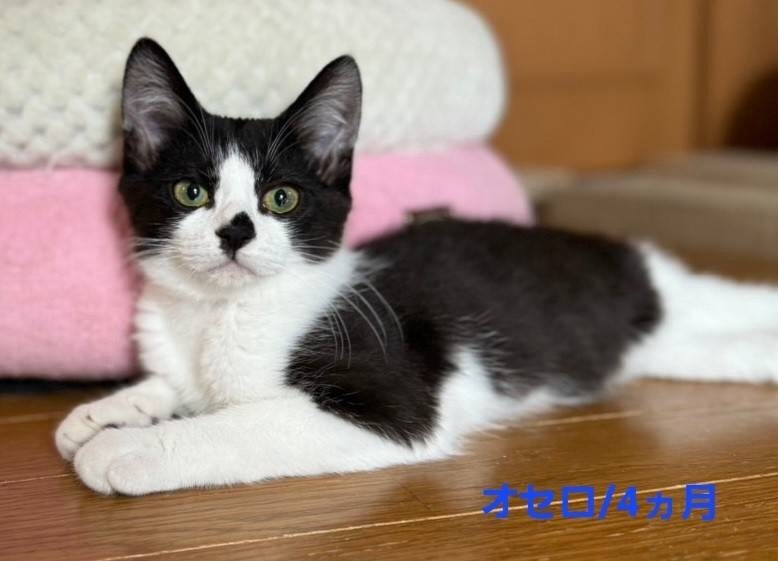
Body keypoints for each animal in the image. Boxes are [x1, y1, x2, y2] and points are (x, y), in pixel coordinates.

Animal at [56, 38, 778, 495]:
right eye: (191, 192)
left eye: (280, 198)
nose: (236, 230)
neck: (217, 314)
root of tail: (631, 261)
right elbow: (177, 386)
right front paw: (108, 411)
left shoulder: (393, 399)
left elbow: (243, 422)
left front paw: (128, 448)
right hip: (677, 347)